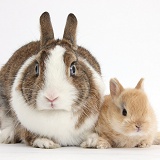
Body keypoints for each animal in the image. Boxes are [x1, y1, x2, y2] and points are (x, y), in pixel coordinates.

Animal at [0, 11, 105, 148]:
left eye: (73, 68)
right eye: (36, 68)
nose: (51, 97)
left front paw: (93, 141)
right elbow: (30, 136)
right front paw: (46, 143)